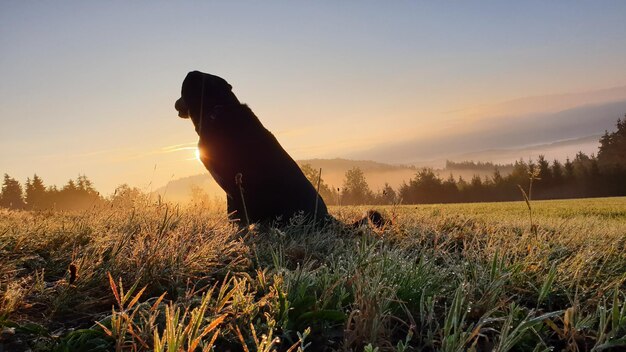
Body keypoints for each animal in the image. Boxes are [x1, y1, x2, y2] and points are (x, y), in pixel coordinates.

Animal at [173, 71, 382, 228]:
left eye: (182, 91)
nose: (175, 102)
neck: (217, 109)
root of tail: (327, 219)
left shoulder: (235, 185)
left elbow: (236, 218)